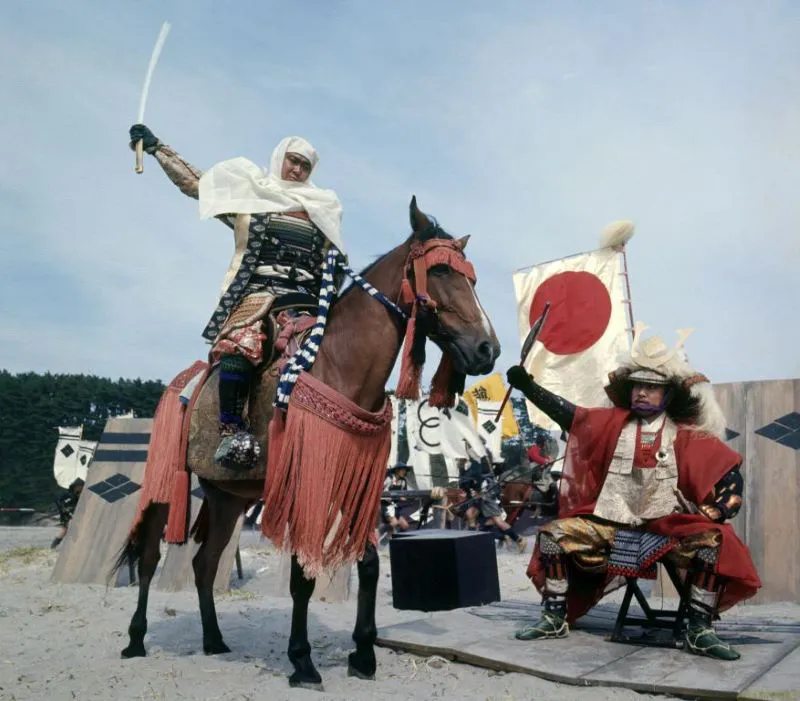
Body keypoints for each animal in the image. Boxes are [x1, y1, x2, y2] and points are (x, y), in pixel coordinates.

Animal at [114, 198, 500, 688]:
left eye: (473, 279)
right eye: (442, 272)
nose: (488, 349)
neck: (339, 365)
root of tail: (179, 385)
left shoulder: (356, 483)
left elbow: (369, 564)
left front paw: (363, 654)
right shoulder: (306, 480)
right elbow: (302, 574)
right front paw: (302, 661)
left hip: (227, 497)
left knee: (205, 563)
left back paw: (214, 640)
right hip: (167, 483)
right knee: (148, 557)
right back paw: (136, 640)